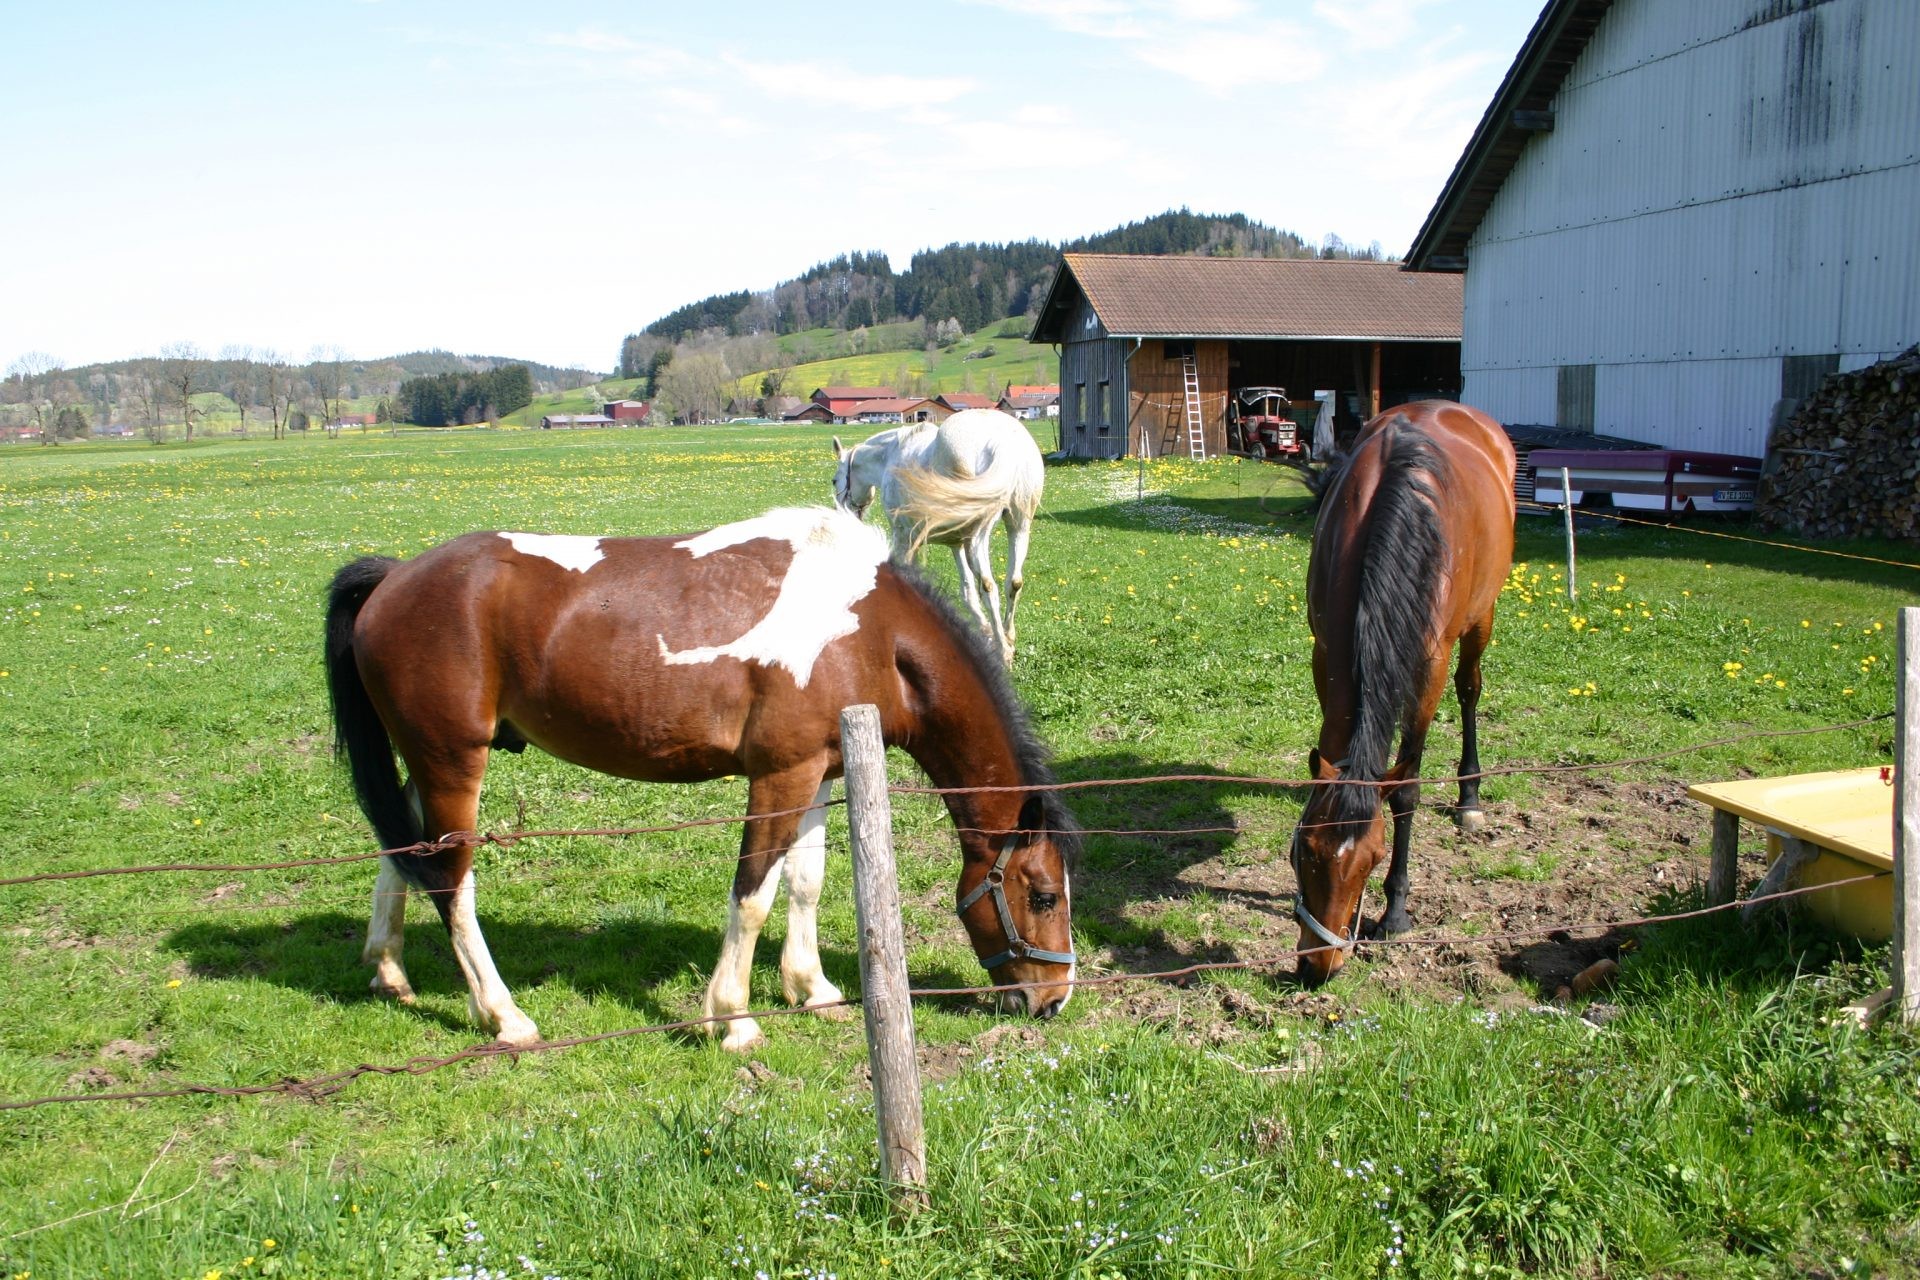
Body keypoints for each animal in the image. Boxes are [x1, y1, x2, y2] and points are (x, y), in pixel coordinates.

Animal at [323, 506, 1079, 1051]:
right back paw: (503, 1016)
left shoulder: (821, 771)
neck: (867, 628)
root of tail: (394, 578)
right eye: (1042, 895)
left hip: (427, 763)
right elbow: (753, 895)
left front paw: (815, 989)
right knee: (451, 882)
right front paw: (732, 1018)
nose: (1054, 998)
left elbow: (804, 882)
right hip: (455, 763)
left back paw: (390, 971)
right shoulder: (779, 776)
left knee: (404, 850)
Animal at [831, 408, 1044, 666]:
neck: (892, 455)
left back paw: (1002, 652)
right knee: (1013, 582)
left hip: (979, 536)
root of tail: (1000, 443)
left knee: (989, 585)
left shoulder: (905, 538)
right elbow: (967, 591)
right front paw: (983, 632)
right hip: (1018, 526)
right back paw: (1007, 640)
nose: (845, 515)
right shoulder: (956, 544)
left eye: (834, 480)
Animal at [1289, 401, 1516, 985]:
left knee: (1470, 690)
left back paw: (1470, 796)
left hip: (1482, 618)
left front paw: (1395, 912)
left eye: (1371, 859)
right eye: (1305, 850)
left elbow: (1407, 789)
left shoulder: (1428, 669)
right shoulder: (1326, 652)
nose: (1319, 965)